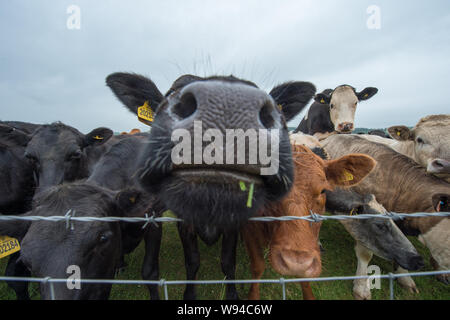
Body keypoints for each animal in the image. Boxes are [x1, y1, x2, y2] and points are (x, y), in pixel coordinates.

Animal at [105, 73, 316, 300]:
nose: (228, 105)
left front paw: (232, 294)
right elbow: (192, 261)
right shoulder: (184, 221)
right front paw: (189, 294)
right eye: (170, 93)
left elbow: (228, 261)